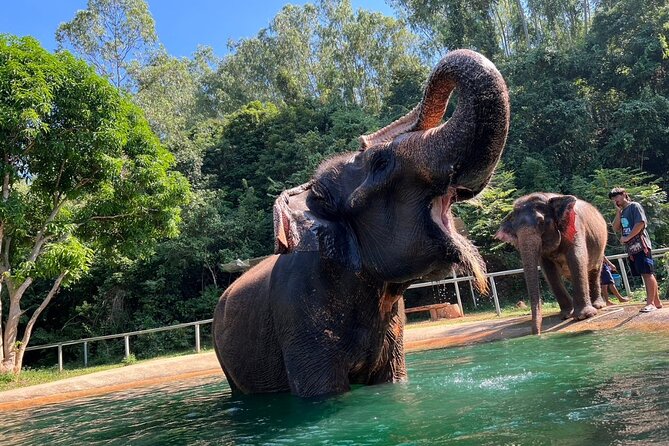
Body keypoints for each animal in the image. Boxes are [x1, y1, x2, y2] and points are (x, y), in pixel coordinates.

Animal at [495, 193, 609, 335]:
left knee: (595, 271)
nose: (536, 333)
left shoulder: (575, 226)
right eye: (515, 231)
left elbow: (577, 258)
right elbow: (548, 269)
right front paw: (566, 315)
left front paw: (584, 316)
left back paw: (598, 305)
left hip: (601, 247)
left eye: (541, 222)